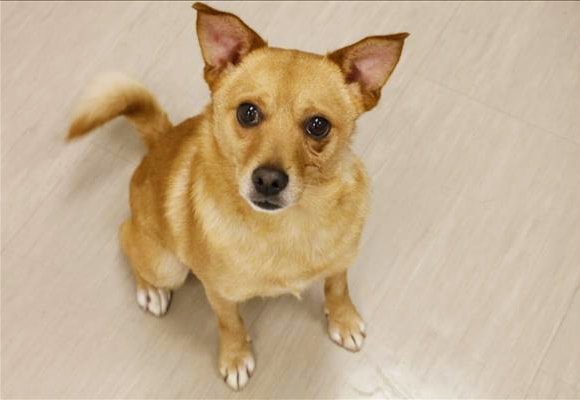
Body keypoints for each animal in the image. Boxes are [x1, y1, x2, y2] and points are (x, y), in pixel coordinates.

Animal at [67, 3, 408, 390]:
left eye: (318, 125)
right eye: (248, 113)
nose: (269, 180)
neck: (286, 227)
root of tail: (159, 141)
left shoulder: (340, 263)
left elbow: (337, 289)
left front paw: (343, 320)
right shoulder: (220, 294)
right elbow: (230, 324)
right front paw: (235, 357)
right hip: (167, 265)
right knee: (126, 238)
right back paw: (151, 290)